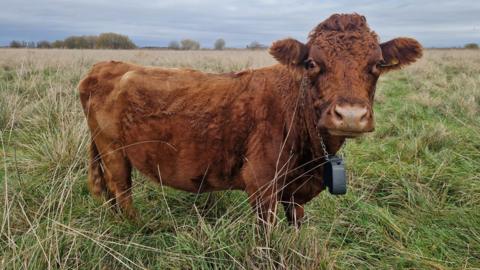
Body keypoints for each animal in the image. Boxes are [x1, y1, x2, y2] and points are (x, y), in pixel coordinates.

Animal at [80, 13, 422, 227]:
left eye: (377, 64)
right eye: (312, 63)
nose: (350, 115)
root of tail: (105, 66)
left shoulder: (295, 193)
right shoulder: (262, 184)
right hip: (113, 152)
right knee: (121, 190)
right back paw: (138, 228)